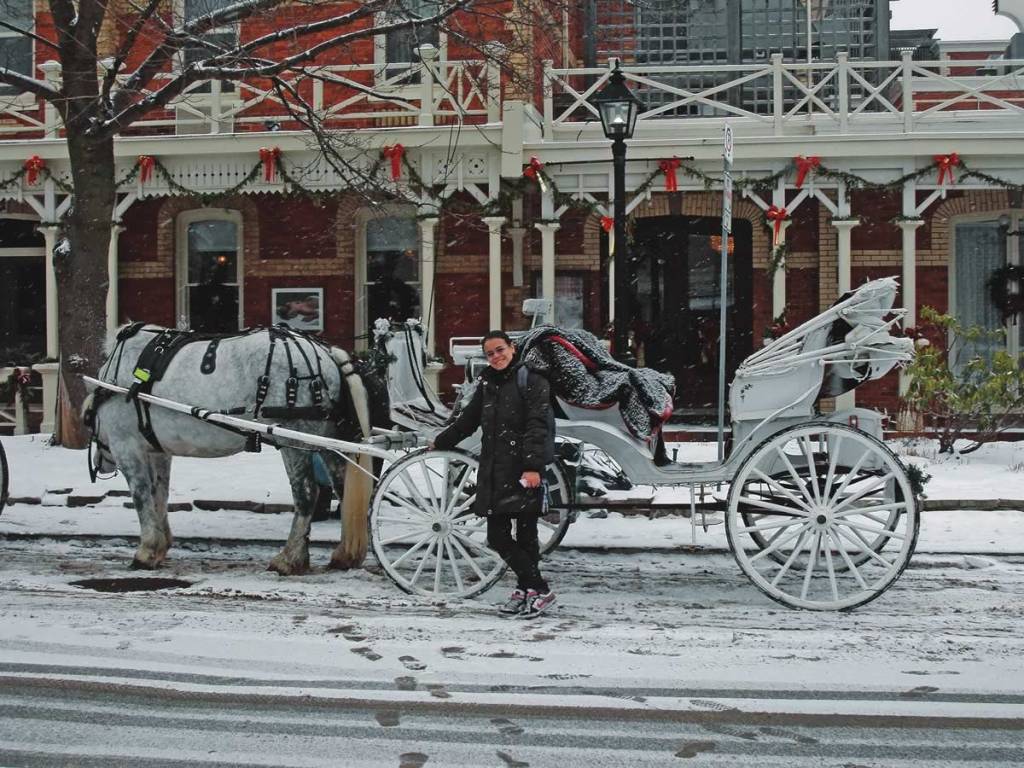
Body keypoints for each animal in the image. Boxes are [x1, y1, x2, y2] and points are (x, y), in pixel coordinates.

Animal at [83, 321, 385, 573]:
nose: (100, 462)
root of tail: (325, 353)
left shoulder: (127, 447)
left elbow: (141, 496)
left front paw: (146, 552)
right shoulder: (158, 450)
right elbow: (160, 494)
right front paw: (161, 546)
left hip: (294, 442)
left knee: (307, 495)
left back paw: (290, 559)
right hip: (327, 444)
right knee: (343, 490)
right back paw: (345, 555)